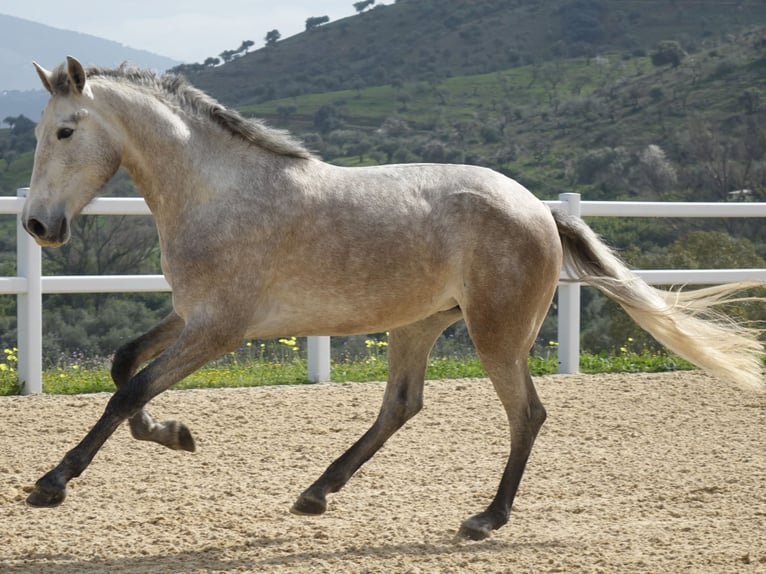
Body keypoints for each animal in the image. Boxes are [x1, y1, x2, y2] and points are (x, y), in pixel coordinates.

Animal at [22, 56, 764, 540]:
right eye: (39, 132)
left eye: (65, 130)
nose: (37, 226)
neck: (218, 192)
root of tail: (539, 209)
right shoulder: (190, 314)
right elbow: (125, 367)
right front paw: (176, 435)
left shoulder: (219, 329)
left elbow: (130, 389)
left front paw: (52, 483)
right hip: (419, 325)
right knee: (402, 406)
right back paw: (316, 493)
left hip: (497, 336)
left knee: (526, 414)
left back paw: (486, 518)